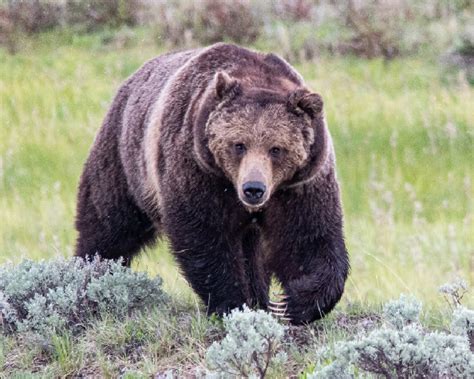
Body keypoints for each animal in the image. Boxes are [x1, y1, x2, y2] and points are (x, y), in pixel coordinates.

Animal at [74, 43, 348, 326]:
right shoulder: (198, 170)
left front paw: (292, 303)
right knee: (109, 225)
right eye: (239, 144)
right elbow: (205, 236)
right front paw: (232, 302)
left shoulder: (298, 186)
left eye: (276, 149)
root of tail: (131, 81)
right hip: (125, 162)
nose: (253, 189)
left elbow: (306, 238)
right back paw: (89, 275)